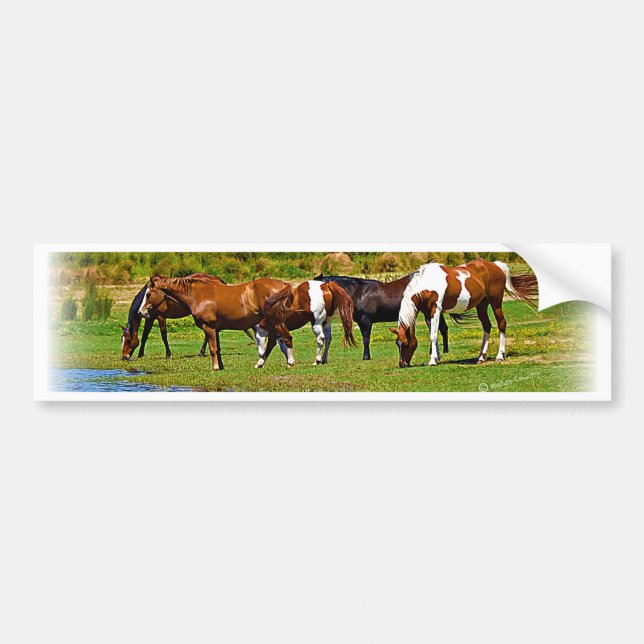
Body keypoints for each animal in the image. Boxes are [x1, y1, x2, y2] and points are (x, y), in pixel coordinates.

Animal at [139, 274, 289, 371]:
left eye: (148, 294)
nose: (141, 312)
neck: (198, 295)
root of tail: (283, 284)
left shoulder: (209, 327)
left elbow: (212, 348)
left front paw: (215, 367)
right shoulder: (216, 329)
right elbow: (218, 348)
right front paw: (221, 366)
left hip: (275, 321)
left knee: (282, 339)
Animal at [390, 260, 537, 367]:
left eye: (406, 343)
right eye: (398, 343)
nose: (402, 364)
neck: (427, 284)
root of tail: (496, 265)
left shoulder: (435, 310)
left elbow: (433, 335)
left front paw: (432, 361)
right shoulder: (427, 313)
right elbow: (434, 334)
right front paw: (436, 358)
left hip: (495, 302)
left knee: (502, 324)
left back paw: (500, 356)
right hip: (481, 305)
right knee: (487, 326)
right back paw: (481, 357)